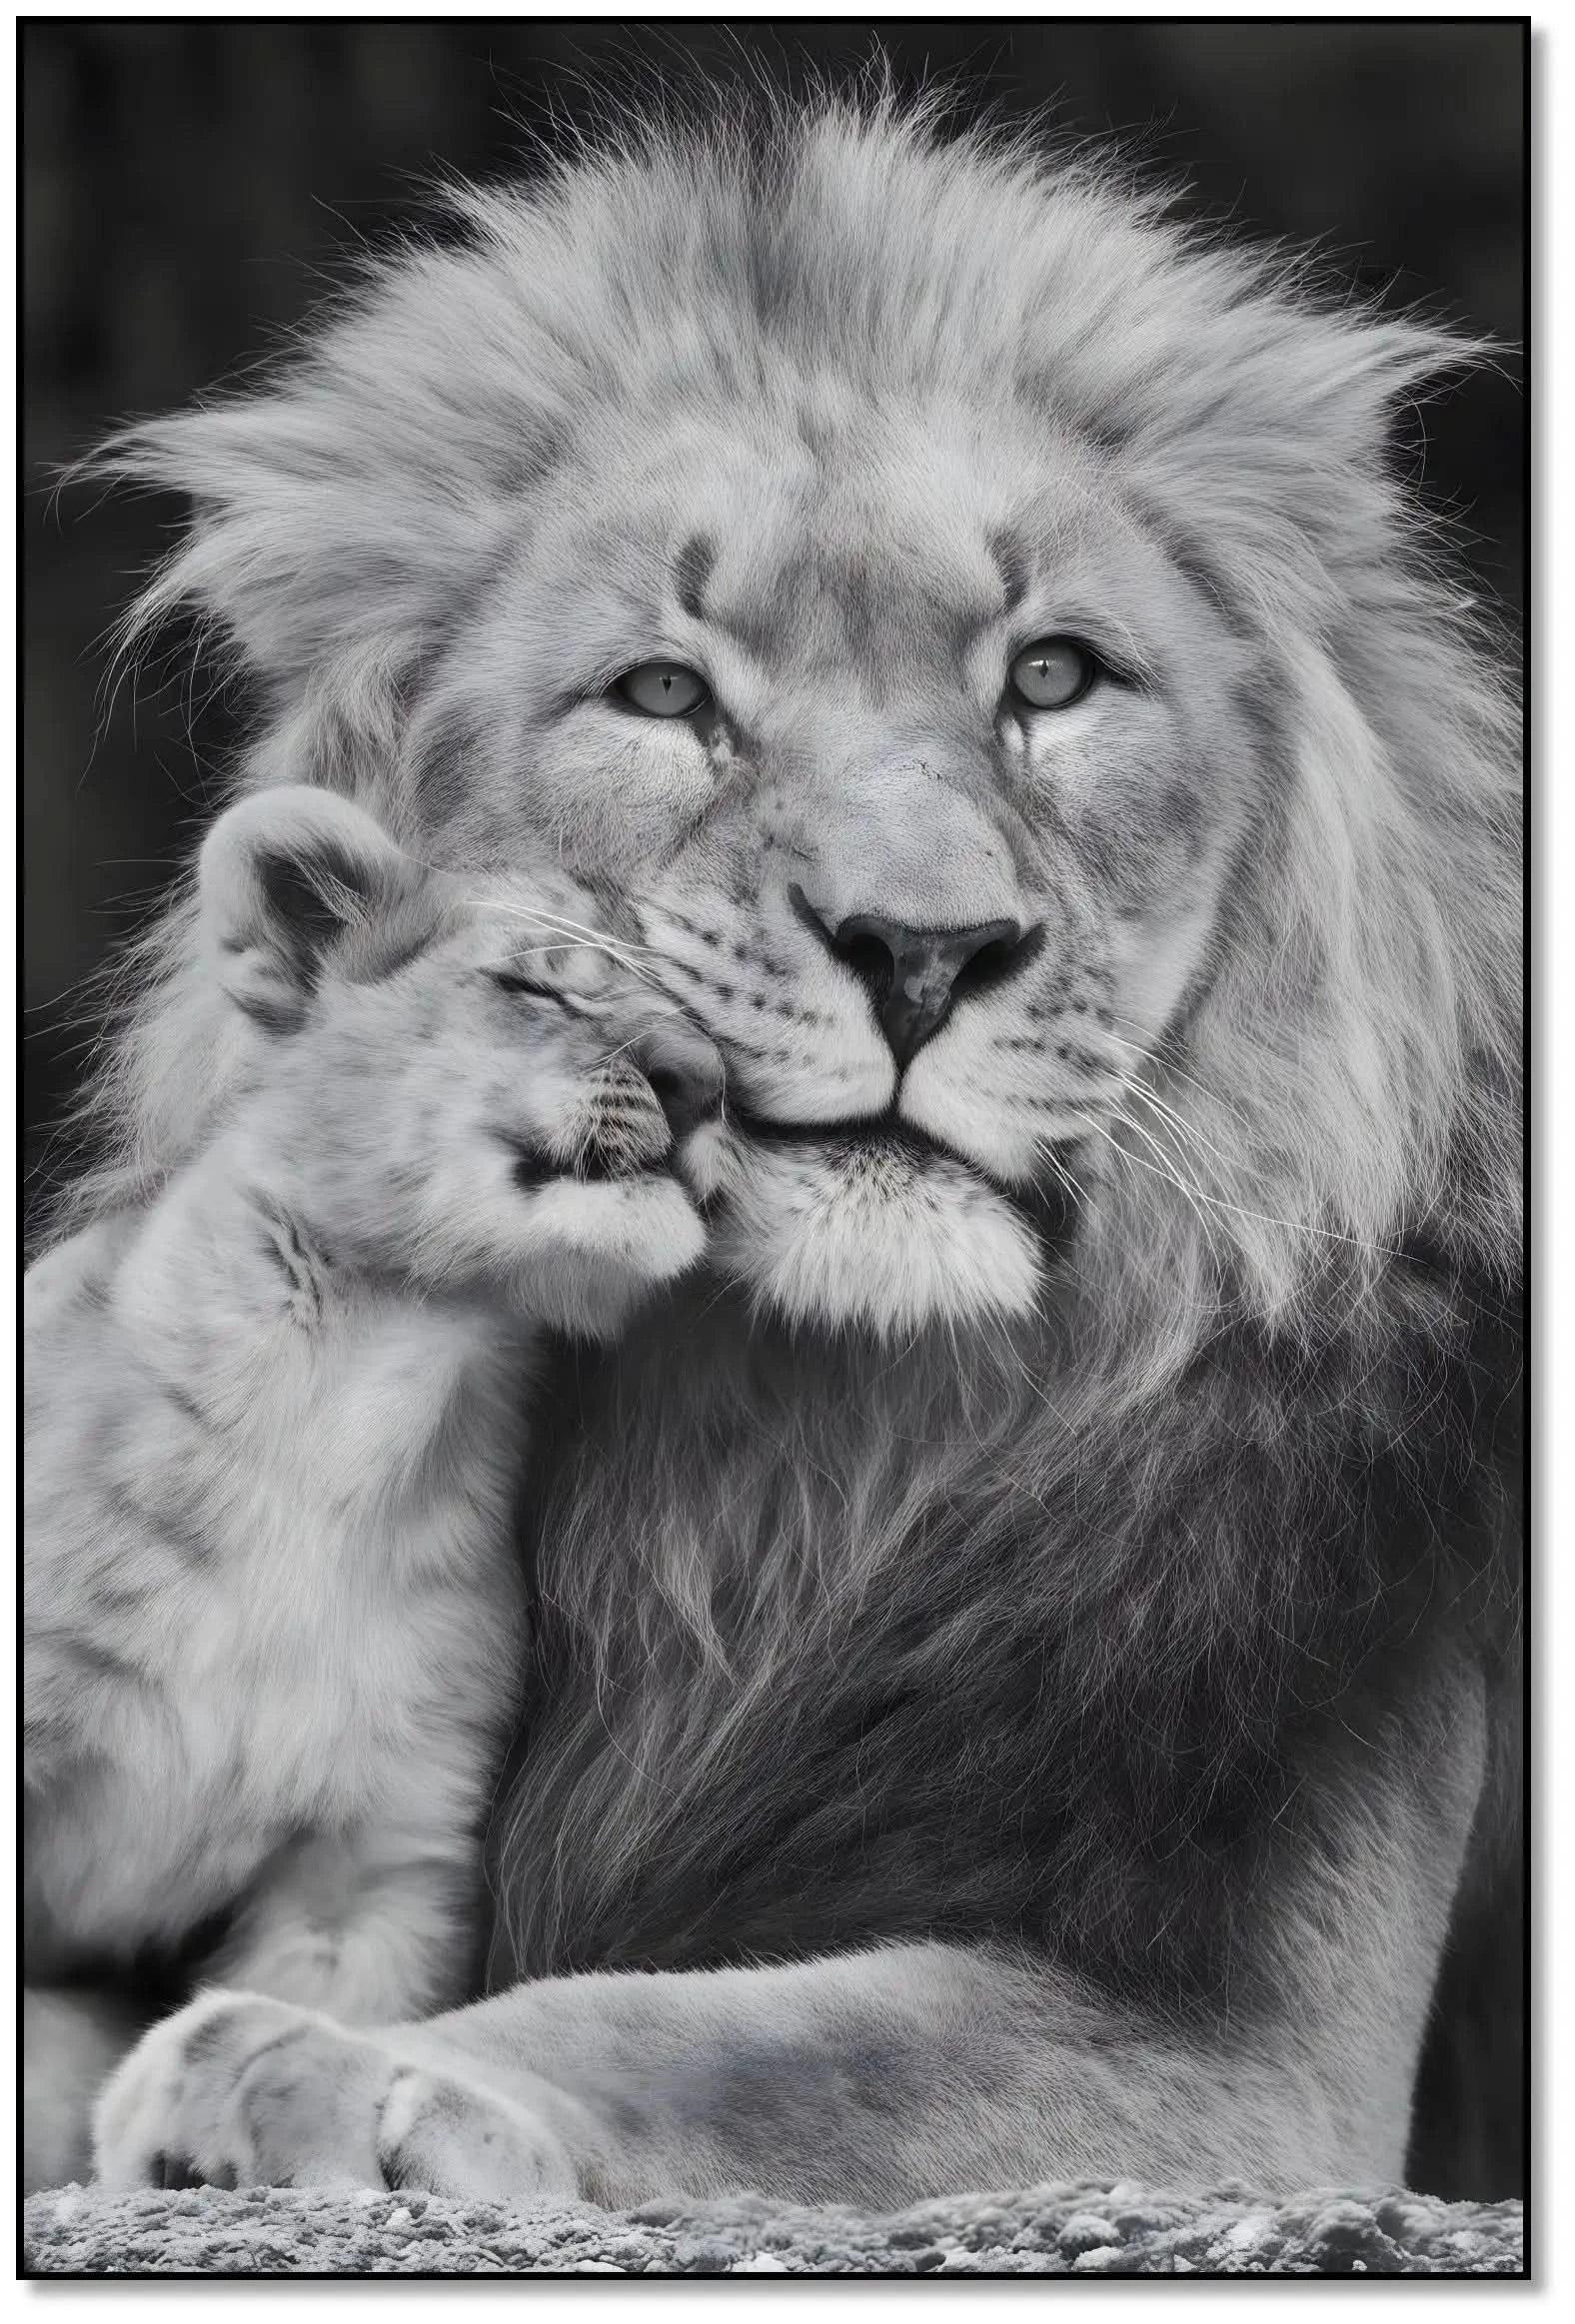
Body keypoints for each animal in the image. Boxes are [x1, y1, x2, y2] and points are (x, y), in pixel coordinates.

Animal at [31, 94, 1520, 2207]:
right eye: (665, 694)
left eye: (1052, 677)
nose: (922, 949)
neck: (788, 1458)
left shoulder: (1274, 2069)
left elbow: (743, 2032)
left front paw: (331, 2066)